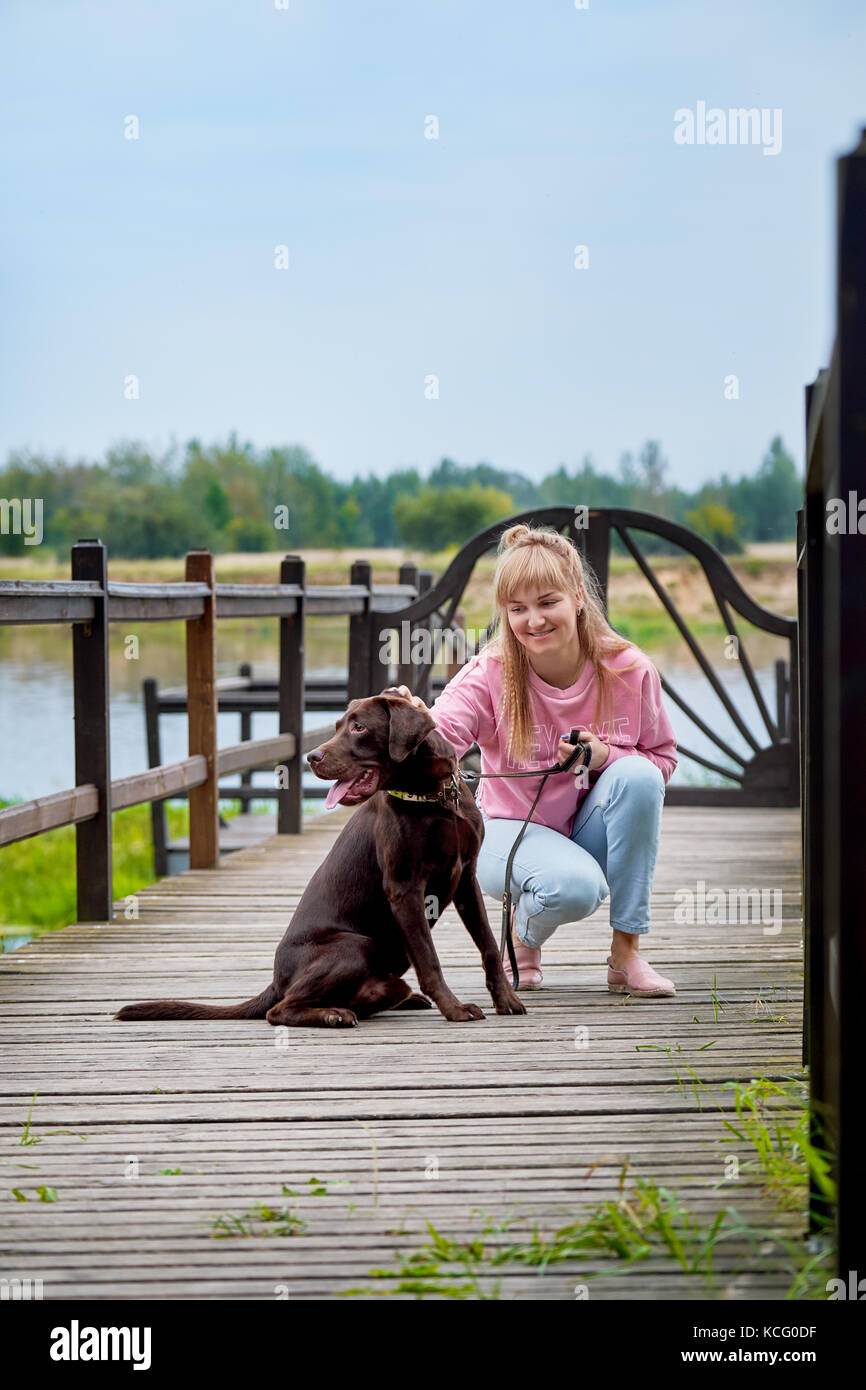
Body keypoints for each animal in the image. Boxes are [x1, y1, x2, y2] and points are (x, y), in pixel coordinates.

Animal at [113, 689, 522, 1028]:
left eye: (358, 727)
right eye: (339, 726)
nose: (312, 757)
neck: (434, 796)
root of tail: (275, 982)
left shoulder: (465, 878)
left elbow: (488, 944)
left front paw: (506, 998)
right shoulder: (404, 888)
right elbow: (429, 958)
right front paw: (454, 1009)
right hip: (356, 945)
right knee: (280, 1010)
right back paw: (332, 1014)